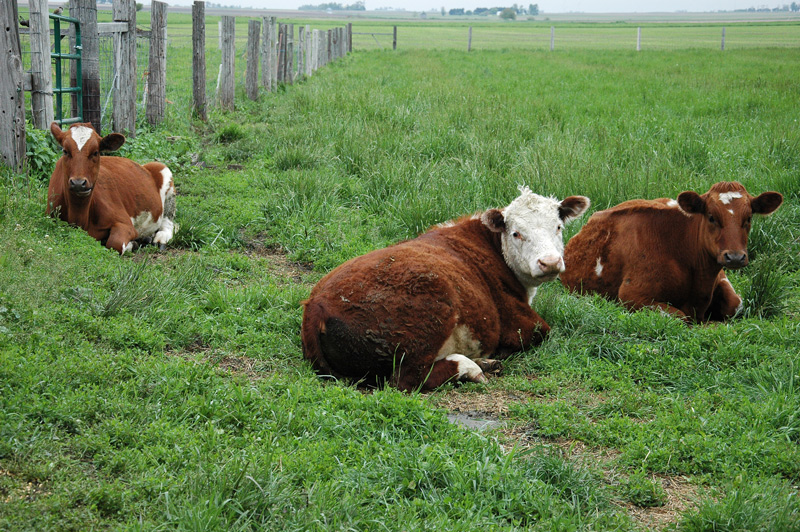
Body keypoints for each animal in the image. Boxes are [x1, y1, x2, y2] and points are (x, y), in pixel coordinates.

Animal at [47, 122, 177, 255]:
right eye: (65, 151)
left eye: (96, 152)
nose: (78, 183)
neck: (79, 215)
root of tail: (144, 166)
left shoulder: (125, 223)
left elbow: (115, 243)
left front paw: (133, 244)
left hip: (165, 175)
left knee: (169, 223)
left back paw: (160, 239)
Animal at [301, 186, 590, 391]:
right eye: (517, 233)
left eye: (558, 227)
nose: (550, 262)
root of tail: (316, 305)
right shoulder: (519, 322)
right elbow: (541, 332)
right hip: (431, 314)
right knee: (406, 379)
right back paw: (472, 367)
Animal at [560, 181, 783, 322]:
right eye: (711, 217)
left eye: (749, 218)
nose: (735, 257)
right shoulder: (631, 295)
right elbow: (679, 316)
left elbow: (735, 305)